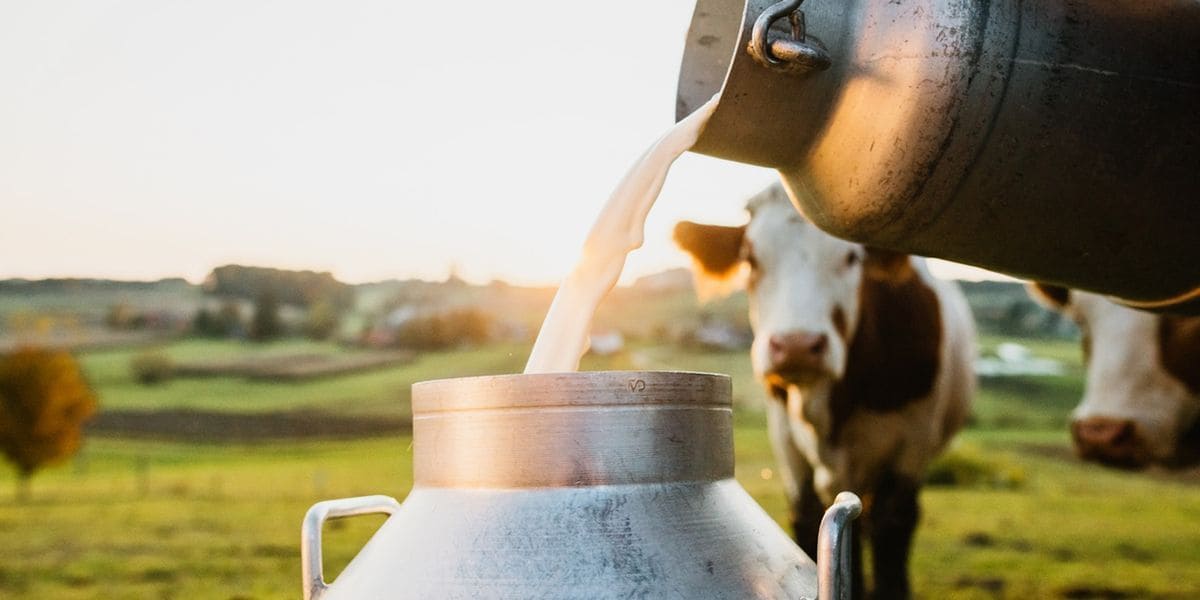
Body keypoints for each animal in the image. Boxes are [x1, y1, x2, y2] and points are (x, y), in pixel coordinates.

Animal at [676, 184, 974, 597]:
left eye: (851, 257)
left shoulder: (912, 446)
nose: (797, 345)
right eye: (750, 258)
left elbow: (891, 533)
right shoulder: (786, 442)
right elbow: (806, 519)